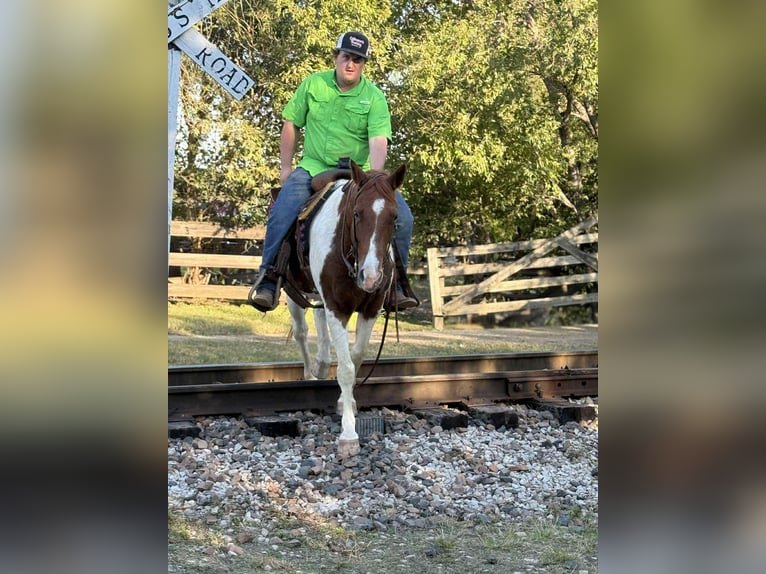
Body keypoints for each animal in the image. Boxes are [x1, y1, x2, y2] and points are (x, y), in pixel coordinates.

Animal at [284, 160, 406, 458]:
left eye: (394, 217)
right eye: (357, 214)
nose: (371, 277)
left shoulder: (370, 308)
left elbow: (357, 357)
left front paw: (345, 403)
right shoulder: (337, 307)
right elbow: (346, 369)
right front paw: (348, 434)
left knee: (319, 324)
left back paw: (321, 363)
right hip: (294, 295)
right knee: (301, 332)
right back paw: (309, 374)